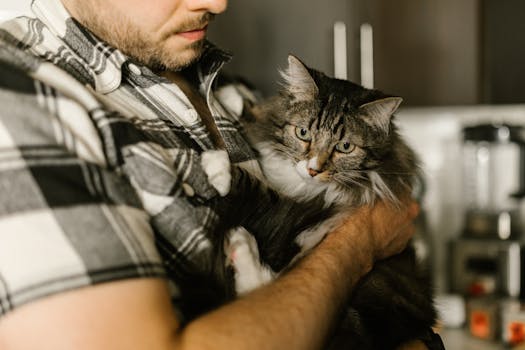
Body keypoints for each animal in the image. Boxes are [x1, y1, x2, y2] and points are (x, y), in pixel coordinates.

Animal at [186, 56, 440, 348]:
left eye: (345, 147)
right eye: (303, 132)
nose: (313, 169)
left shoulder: (306, 205)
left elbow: (255, 187)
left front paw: (214, 164)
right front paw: (233, 94)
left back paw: (241, 244)